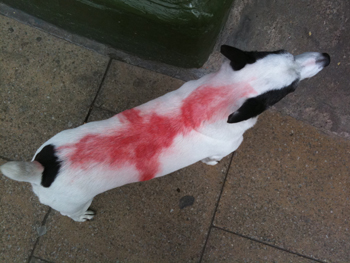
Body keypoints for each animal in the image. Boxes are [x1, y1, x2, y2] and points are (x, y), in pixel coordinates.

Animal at [0, 46, 330, 223]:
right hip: (74, 203)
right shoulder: (227, 146)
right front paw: (211, 163)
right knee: (72, 213)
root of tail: (42, 169)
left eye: (287, 52)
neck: (216, 96)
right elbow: (216, 158)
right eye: (291, 89)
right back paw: (83, 217)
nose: (326, 57)